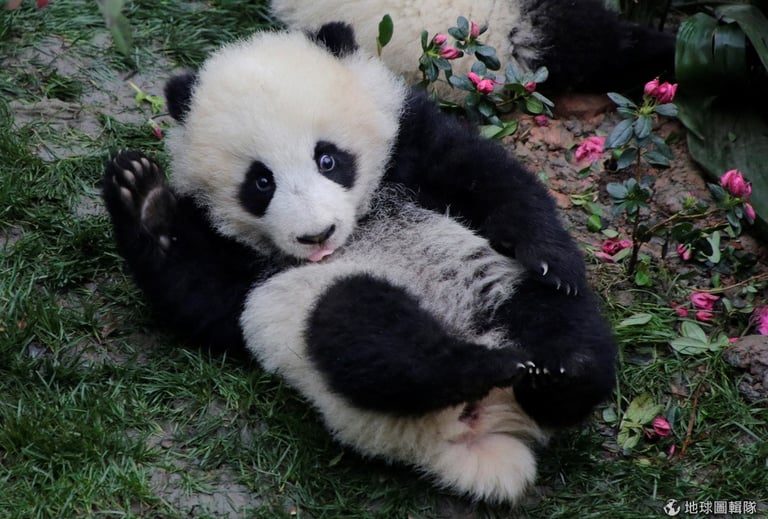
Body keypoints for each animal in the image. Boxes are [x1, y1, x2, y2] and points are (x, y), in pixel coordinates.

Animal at [102, 24, 616, 503]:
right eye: (261, 182)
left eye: (328, 158)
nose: (316, 236)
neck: (358, 227)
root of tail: (475, 432)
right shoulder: (241, 262)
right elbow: (199, 292)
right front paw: (144, 200)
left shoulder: (408, 137)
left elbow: (489, 178)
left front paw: (552, 260)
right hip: (322, 323)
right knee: (364, 333)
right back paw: (481, 367)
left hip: (494, 290)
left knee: (560, 321)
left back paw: (560, 377)